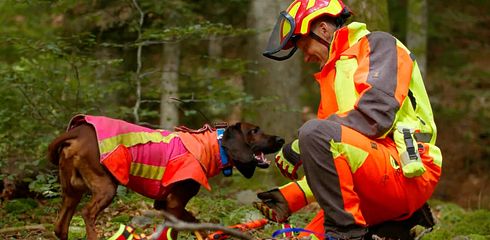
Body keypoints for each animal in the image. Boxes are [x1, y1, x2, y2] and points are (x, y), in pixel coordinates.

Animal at [47, 115, 286, 239]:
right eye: (254, 131)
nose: (281, 139)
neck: (212, 147)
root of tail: (77, 132)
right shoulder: (174, 204)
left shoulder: (165, 204)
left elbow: (195, 223)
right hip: (105, 187)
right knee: (87, 214)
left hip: (72, 191)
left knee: (60, 226)